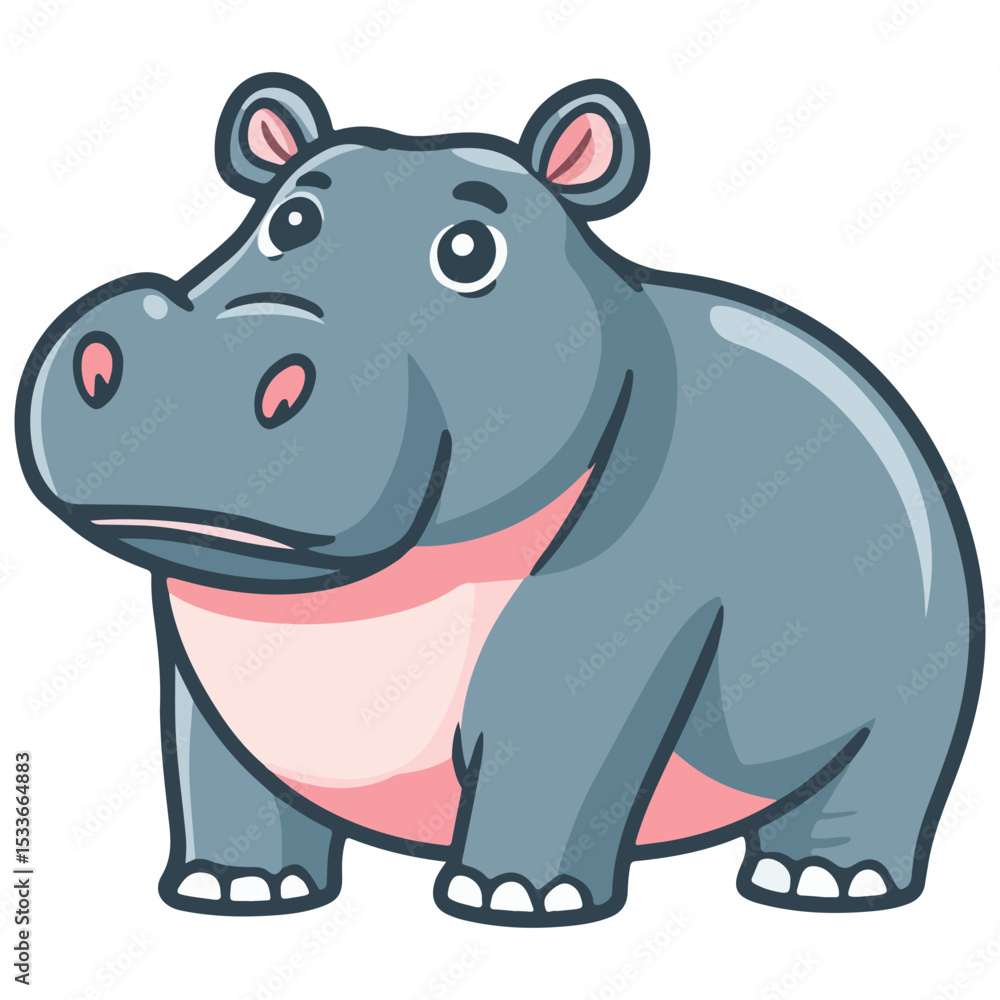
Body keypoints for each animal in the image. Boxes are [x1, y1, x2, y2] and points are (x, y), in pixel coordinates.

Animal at [15, 73, 983, 926]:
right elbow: (215, 772)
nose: (227, 339)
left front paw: (513, 901)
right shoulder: (196, 670)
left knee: (884, 775)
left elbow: (550, 758)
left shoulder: (604, 636)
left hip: (925, 671)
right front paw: (233, 891)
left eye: (470, 250)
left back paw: (825, 883)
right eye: (289, 219)